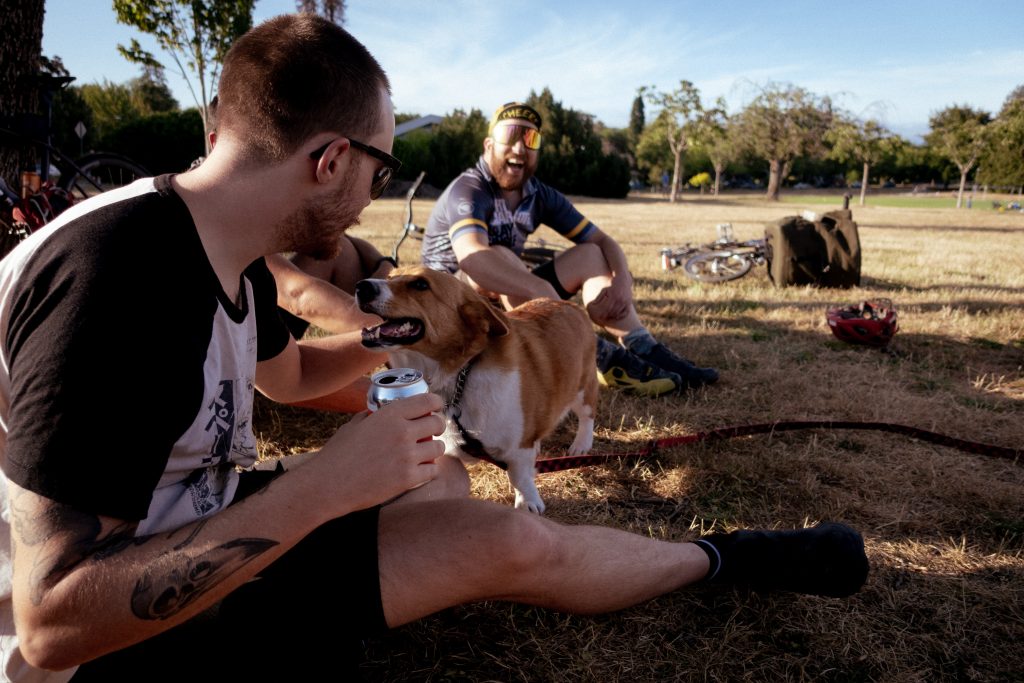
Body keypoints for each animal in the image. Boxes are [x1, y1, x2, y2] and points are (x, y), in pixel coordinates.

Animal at [354, 266, 598, 511]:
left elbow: (519, 478)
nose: (361, 287)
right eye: (389, 277)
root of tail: (570, 305)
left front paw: (527, 503)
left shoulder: (518, 448)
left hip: (583, 389)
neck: (458, 377)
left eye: (421, 285)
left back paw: (580, 445)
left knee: (587, 417)